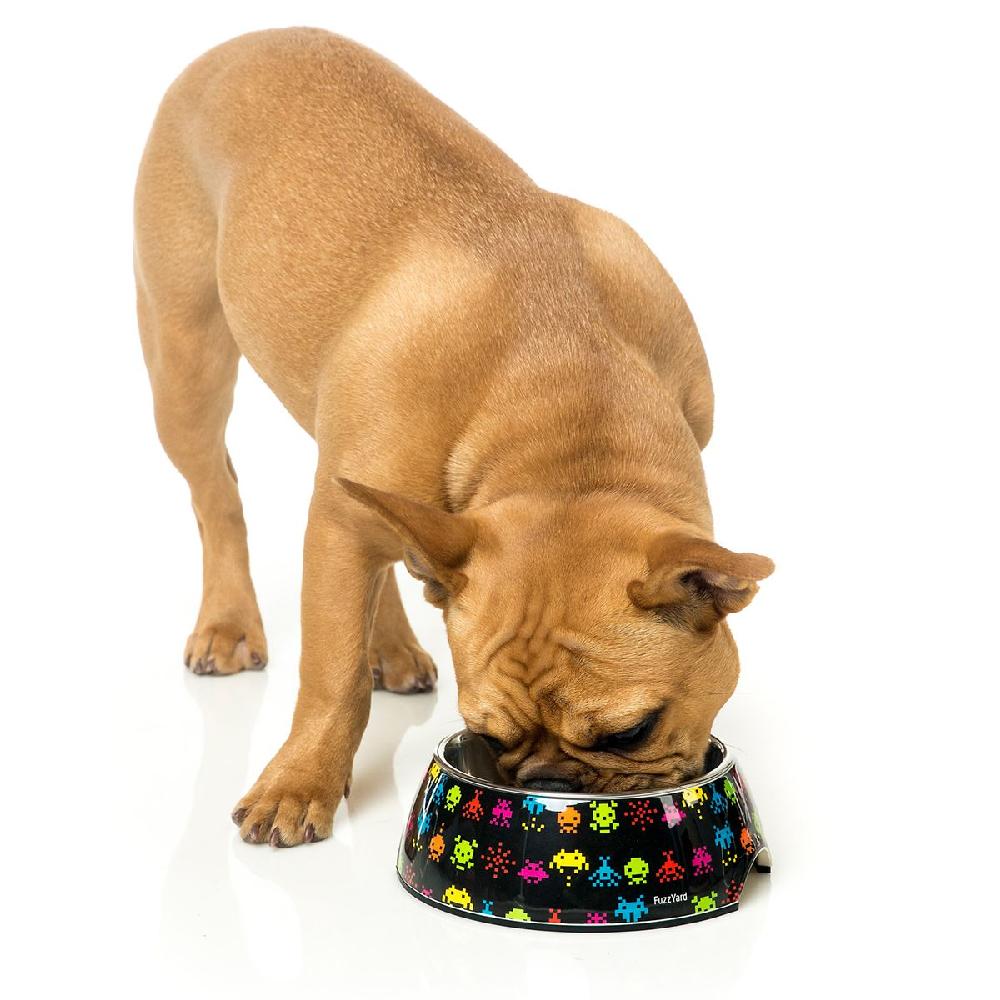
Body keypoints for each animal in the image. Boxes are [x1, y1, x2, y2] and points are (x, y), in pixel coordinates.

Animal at [134, 28, 773, 847]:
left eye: (632, 731)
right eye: (489, 736)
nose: (553, 785)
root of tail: (237, 44)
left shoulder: (364, 504)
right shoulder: (340, 522)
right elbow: (331, 675)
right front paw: (299, 784)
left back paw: (394, 647)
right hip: (186, 363)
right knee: (217, 496)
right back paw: (227, 623)